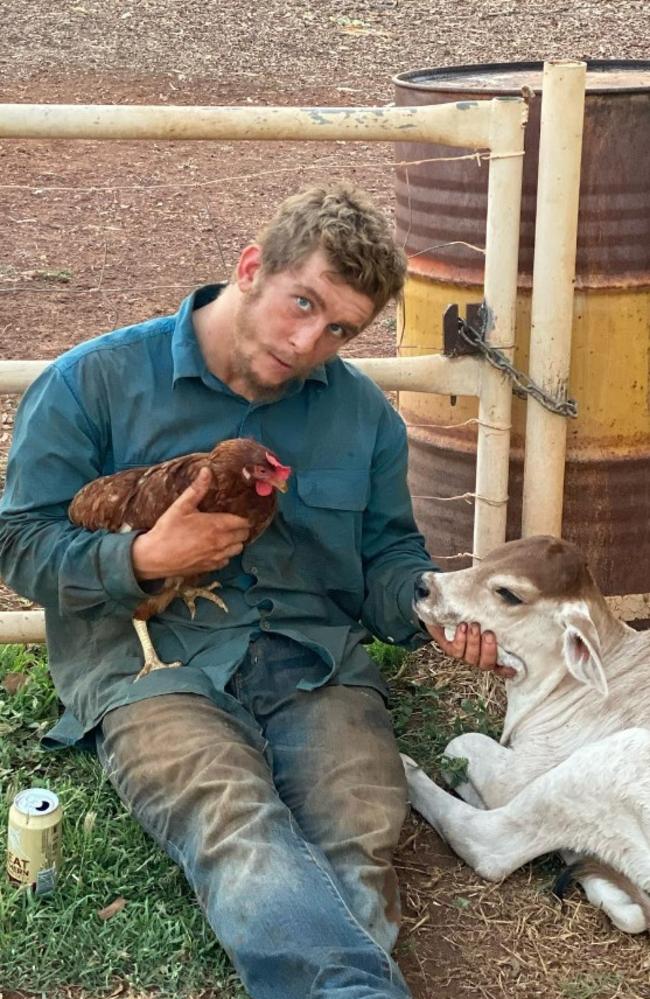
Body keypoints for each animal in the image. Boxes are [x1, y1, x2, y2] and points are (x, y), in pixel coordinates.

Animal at [404, 540, 648, 936]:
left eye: (508, 593)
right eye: (489, 557)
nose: (423, 585)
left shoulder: (517, 776)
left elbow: (459, 744)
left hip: (608, 761)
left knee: (488, 844)